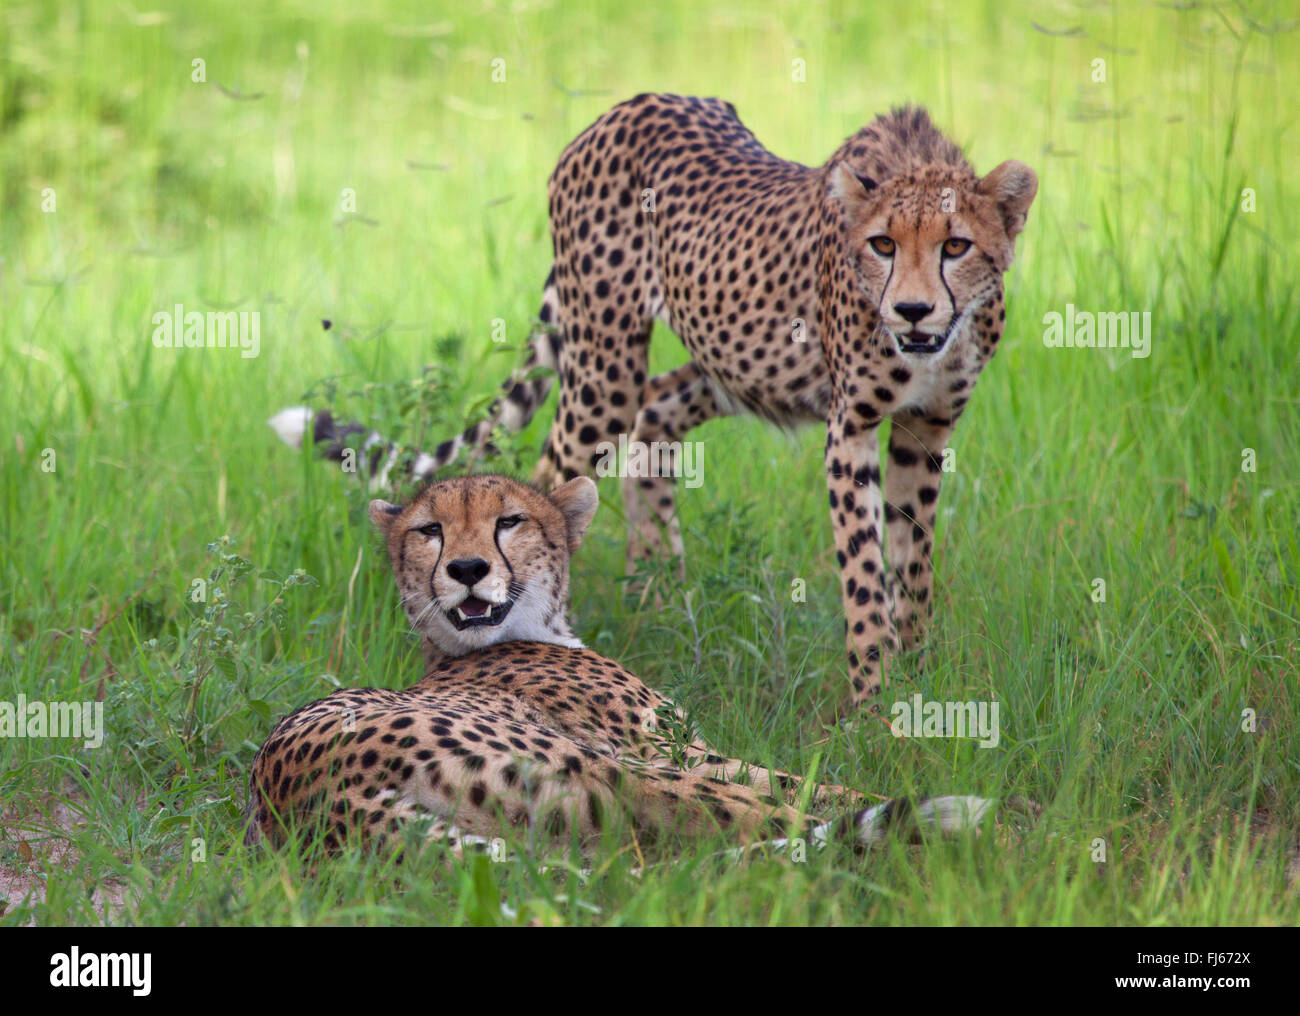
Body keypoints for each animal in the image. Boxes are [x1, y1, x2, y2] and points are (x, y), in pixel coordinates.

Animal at [245, 475, 1013, 857]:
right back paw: (989, 835)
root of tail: (302, 790)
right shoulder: (672, 749)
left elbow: (805, 779)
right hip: (608, 770)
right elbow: (807, 786)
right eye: (430, 530)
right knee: (747, 820)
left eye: (509, 522)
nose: (465, 570)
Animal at [271, 97, 1034, 717]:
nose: (912, 312)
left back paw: (660, 597)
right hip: (603, 366)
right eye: (881, 244)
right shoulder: (852, 426)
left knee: (655, 414)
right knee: (547, 482)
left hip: (730, 364)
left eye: (956, 245)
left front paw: (918, 682)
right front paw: (874, 707)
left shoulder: (926, 425)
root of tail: (626, 106)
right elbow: (865, 574)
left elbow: (915, 562)